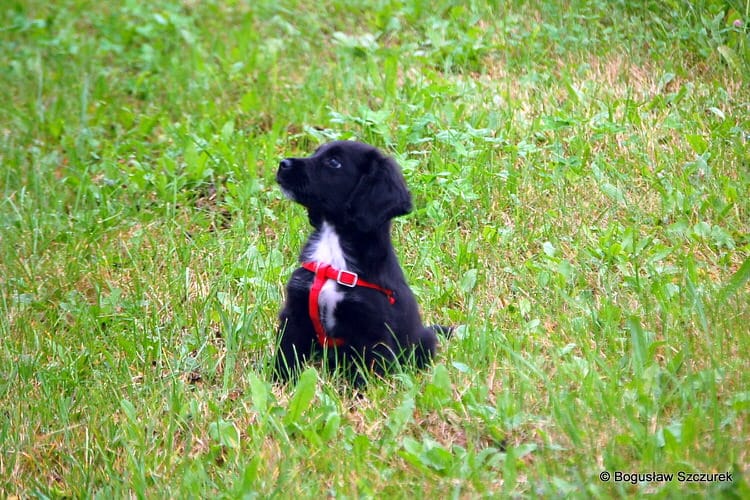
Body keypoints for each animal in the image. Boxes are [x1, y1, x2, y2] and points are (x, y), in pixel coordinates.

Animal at [280, 141, 450, 382]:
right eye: (316, 152)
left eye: (334, 162)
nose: (282, 163)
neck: (333, 245)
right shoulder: (295, 312)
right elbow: (286, 354)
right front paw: (278, 382)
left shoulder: (371, 330)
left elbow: (367, 373)